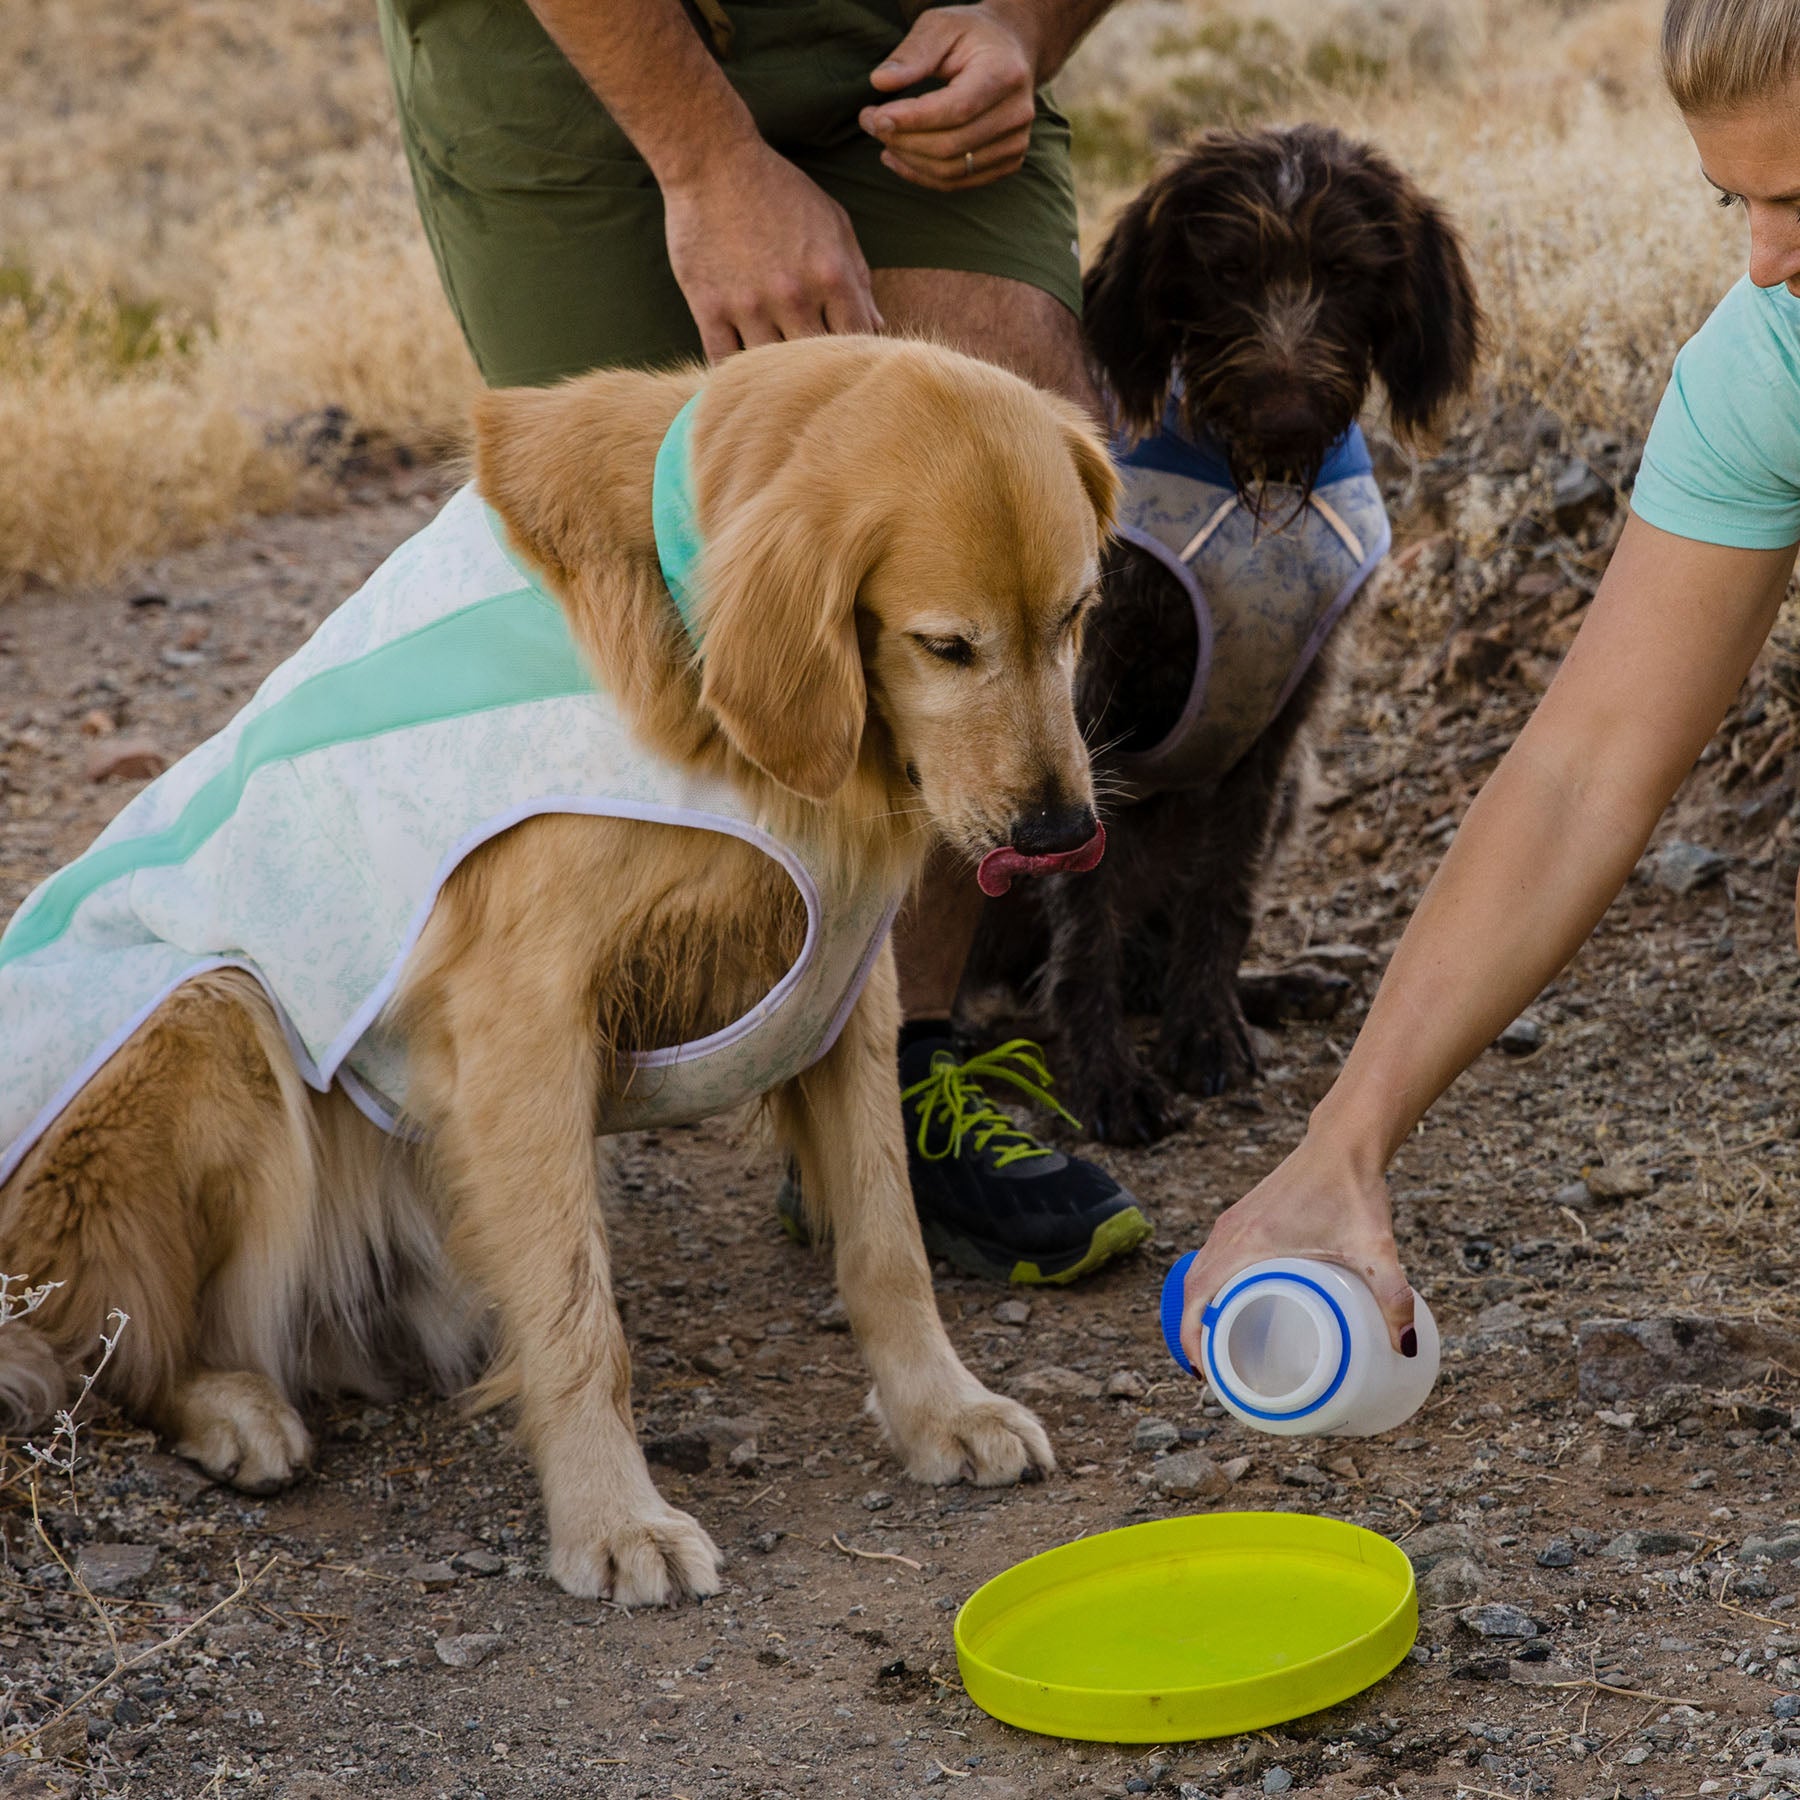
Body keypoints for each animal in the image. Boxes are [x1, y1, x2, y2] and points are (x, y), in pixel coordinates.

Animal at [3, 334, 1108, 1605]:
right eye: (946, 645)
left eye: (1077, 615)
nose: (1061, 832)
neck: (683, 624)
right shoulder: (522, 1018)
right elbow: (580, 1314)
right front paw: (611, 1519)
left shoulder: (845, 988)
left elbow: (887, 1243)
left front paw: (941, 1410)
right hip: (208, 1017)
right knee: (115, 1338)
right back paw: (232, 1407)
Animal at [972, 123, 1476, 1137]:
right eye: (1228, 269)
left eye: (1346, 270)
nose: (1282, 418)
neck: (1254, 499)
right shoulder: (1086, 703)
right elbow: (1083, 914)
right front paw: (1107, 1075)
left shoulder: (1282, 721)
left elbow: (1225, 891)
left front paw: (1208, 1027)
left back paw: (1274, 986)